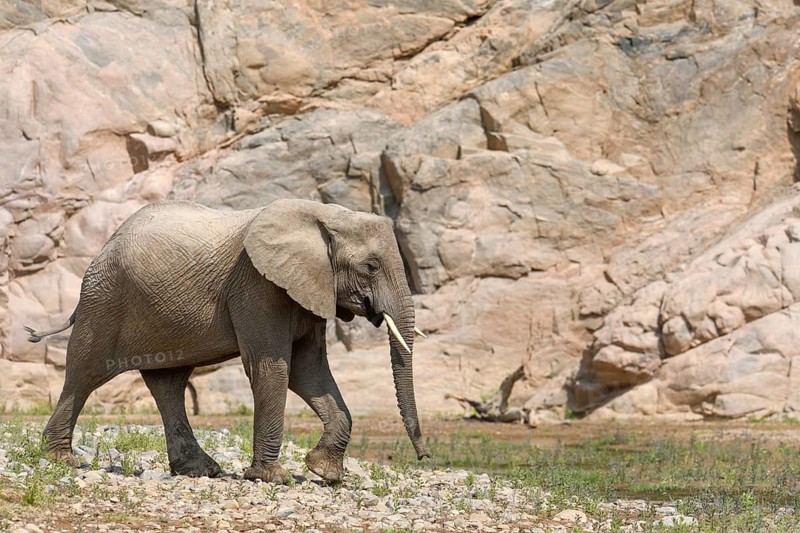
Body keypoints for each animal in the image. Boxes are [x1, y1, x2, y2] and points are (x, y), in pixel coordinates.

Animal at [25, 199, 430, 483]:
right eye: (371, 267)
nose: (424, 458)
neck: (324, 215)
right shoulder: (257, 285)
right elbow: (271, 367)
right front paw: (273, 478)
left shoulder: (308, 290)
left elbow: (308, 371)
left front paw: (325, 474)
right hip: (104, 299)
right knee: (85, 374)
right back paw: (61, 459)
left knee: (168, 383)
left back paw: (199, 470)